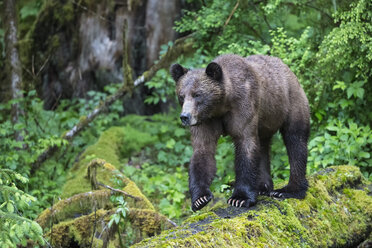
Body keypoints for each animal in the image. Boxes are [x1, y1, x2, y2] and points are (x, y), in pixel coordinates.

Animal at [170, 54, 310, 211]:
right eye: (181, 96)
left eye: (197, 94)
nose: (185, 117)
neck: (221, 105)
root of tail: (288, 69)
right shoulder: (206, 120)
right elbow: (203, 151)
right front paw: (200, 199)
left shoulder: (244, 107)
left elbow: (246, 145)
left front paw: (240, 198)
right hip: (265, 121)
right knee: (263, 147)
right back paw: (263, 187)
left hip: (290, 103)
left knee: (295, 141)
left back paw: (289, 190)